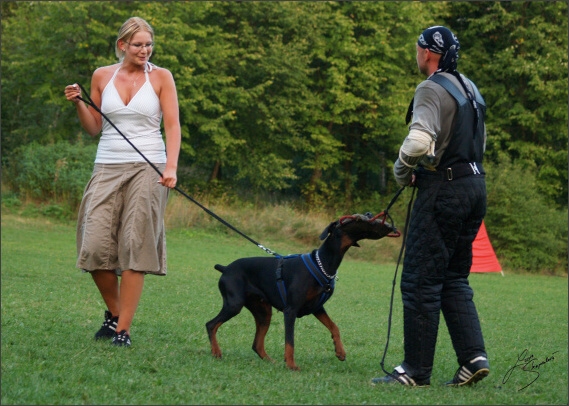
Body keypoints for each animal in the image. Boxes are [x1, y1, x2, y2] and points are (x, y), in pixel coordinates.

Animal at [206, 213, 398, 372]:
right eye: (355, 219)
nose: (371, 215)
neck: (324, 264)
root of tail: (225, 268)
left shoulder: (317, 308)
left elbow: (334, 327)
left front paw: (340, 351)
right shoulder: (290, 310)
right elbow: (290, 341)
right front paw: (291, 365)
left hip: (263, 311)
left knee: (257, 344)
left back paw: (272, 362)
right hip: (234, 304)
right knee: (211, 324)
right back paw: (216, 352)